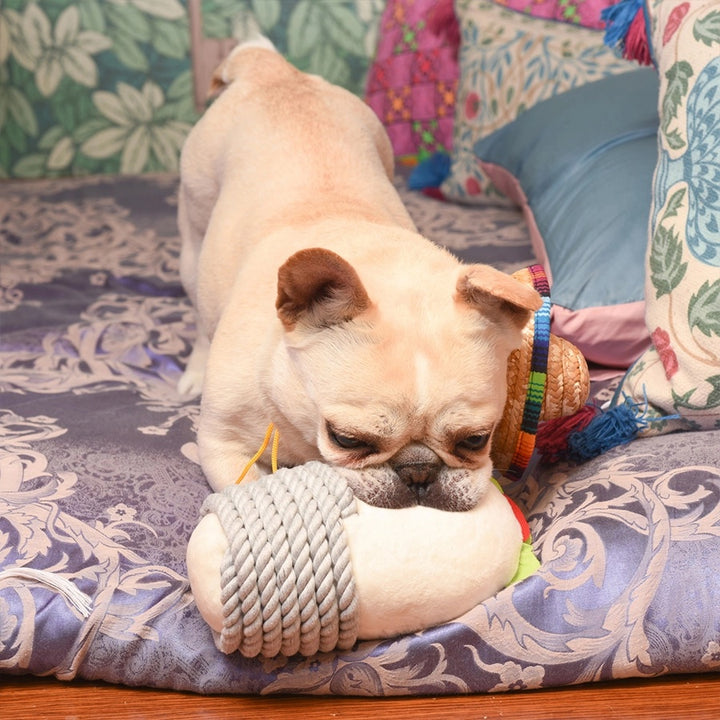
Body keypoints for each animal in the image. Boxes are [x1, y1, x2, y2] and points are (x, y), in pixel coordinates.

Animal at [180, 43, 540, 512]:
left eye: (476, 440)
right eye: (347, 439)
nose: (419, 470)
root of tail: (274, 70)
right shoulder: (223, 444)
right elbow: (243, 483)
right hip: (194, 232)